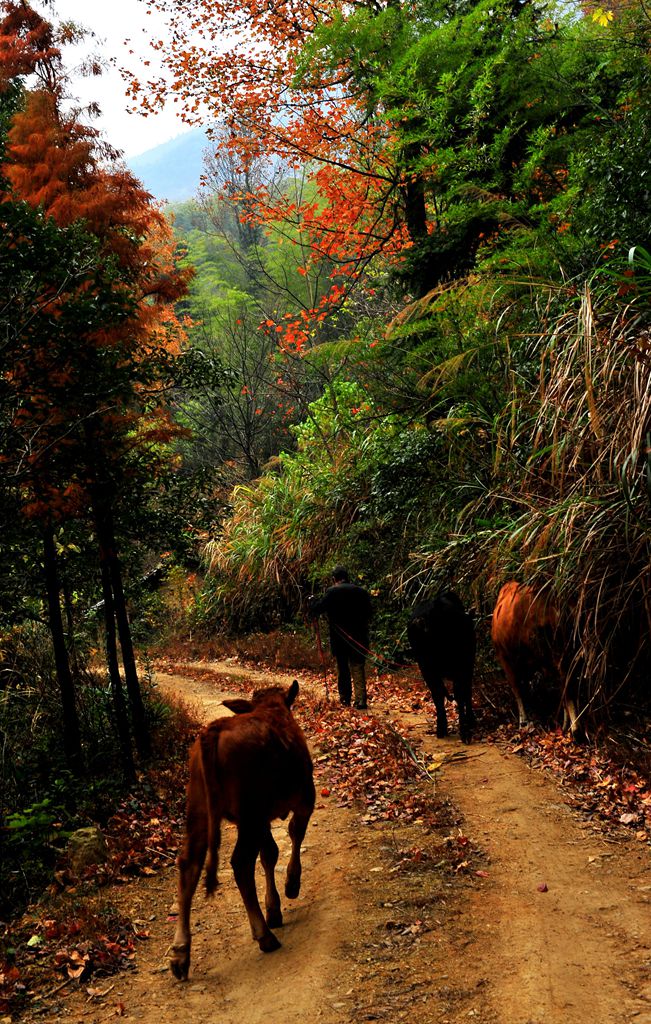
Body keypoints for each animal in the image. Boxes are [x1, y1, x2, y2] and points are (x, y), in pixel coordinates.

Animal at [169, 675, 315, 978]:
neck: (272, 709)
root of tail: (213, 729)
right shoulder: (305, 799)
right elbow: (294, 835)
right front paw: (291, 885)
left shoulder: (263, 819)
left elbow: (269, 854)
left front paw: (274, 908)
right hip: (248, 815)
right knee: (240, 863)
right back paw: (264, 936)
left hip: (200, 811)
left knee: (189, 864)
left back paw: (180, 954)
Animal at [405, 593, 474, 745]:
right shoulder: (465, 667)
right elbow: (464, 695)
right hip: (460, 666)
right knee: (460, 694)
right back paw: (464, 731)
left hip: (427, 668)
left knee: (438, 694)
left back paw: (441, 729)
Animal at [487, 585, 581, 737]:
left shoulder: (505, 659)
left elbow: (518, 690)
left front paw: (523, 722)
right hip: (570, 650)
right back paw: (568, 726)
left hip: (556, 653)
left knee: (567, 683)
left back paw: (575, 728)